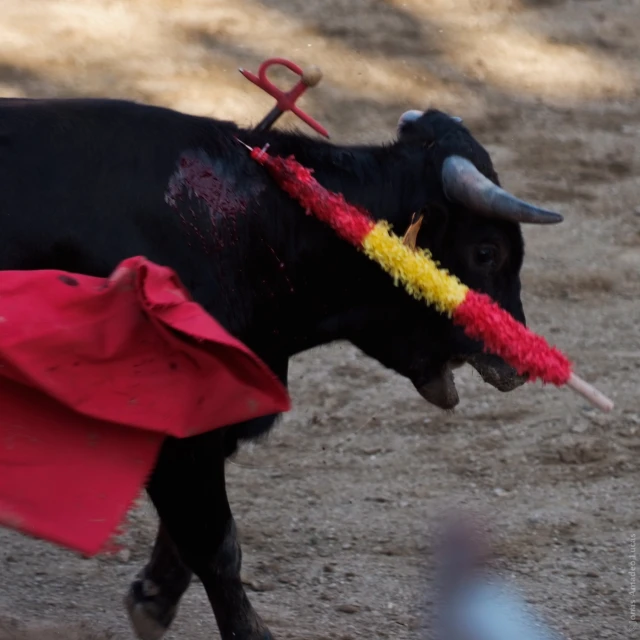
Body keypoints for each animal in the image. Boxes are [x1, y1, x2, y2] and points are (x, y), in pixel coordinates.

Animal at [0, 99, 560, 640]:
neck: (253, 228)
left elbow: (189, 532)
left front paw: (153, 600)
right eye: (486, 251)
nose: (521, 362)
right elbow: (215, 541)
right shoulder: (178, 426)